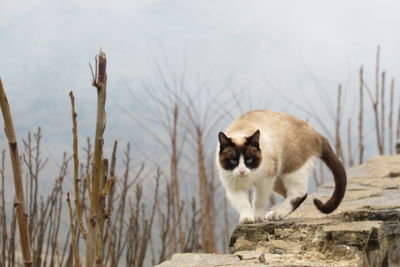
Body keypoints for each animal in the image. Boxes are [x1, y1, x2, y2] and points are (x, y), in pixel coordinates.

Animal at [216, 110, 346, 225]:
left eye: (249, 160)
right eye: (233, 161)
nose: (242, 171)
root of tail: (316, 133)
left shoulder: (265, 181)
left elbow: (258, 201)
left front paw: (257, 217)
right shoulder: (234, 187)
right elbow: (243, 204)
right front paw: (247, 219)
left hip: (289, 170)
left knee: (299, 192)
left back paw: (277, 214)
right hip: (277, 180)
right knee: (295, 195)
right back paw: (275, 214)